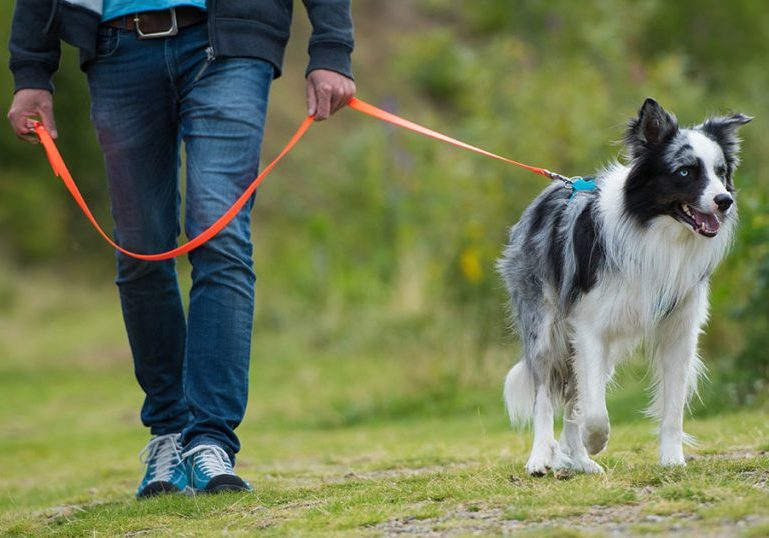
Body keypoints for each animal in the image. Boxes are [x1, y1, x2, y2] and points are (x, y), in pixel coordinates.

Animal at [498, 97, 752, 474]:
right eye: (685, 172)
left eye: (721, 172)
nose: (725, 201)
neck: (657, 230)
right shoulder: (589, 327)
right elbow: (593, 410)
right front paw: (595, 440)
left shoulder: (679, 331)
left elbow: (672, 408)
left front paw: (672, 460)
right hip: (544, 328)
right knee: (545, 395)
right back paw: (542, 457)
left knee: (574, 395)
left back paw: (580, 462)